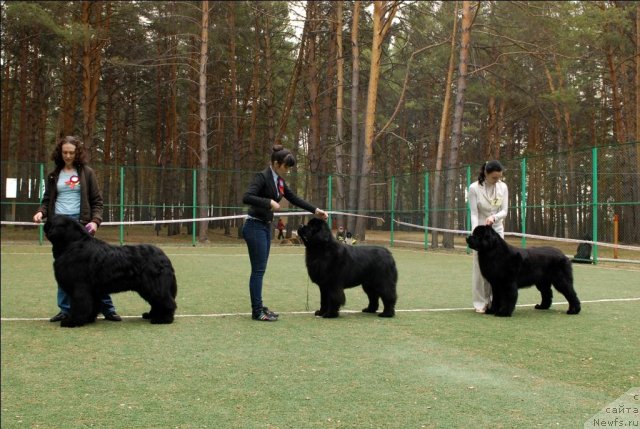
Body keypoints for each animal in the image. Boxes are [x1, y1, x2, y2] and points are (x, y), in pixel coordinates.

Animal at [44, 216, 178, 326]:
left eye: (51, 222)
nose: (45, 224)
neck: (72, 244)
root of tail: (164, 256)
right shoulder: (93, 290)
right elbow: (92, 305)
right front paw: (88, 319)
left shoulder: (79, 287)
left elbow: (79, 305)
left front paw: (72, 321)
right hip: (146, 287)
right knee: (157, 302)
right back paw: (151, 315)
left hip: (154, 285)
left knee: (166, 301)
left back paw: (163, 319)